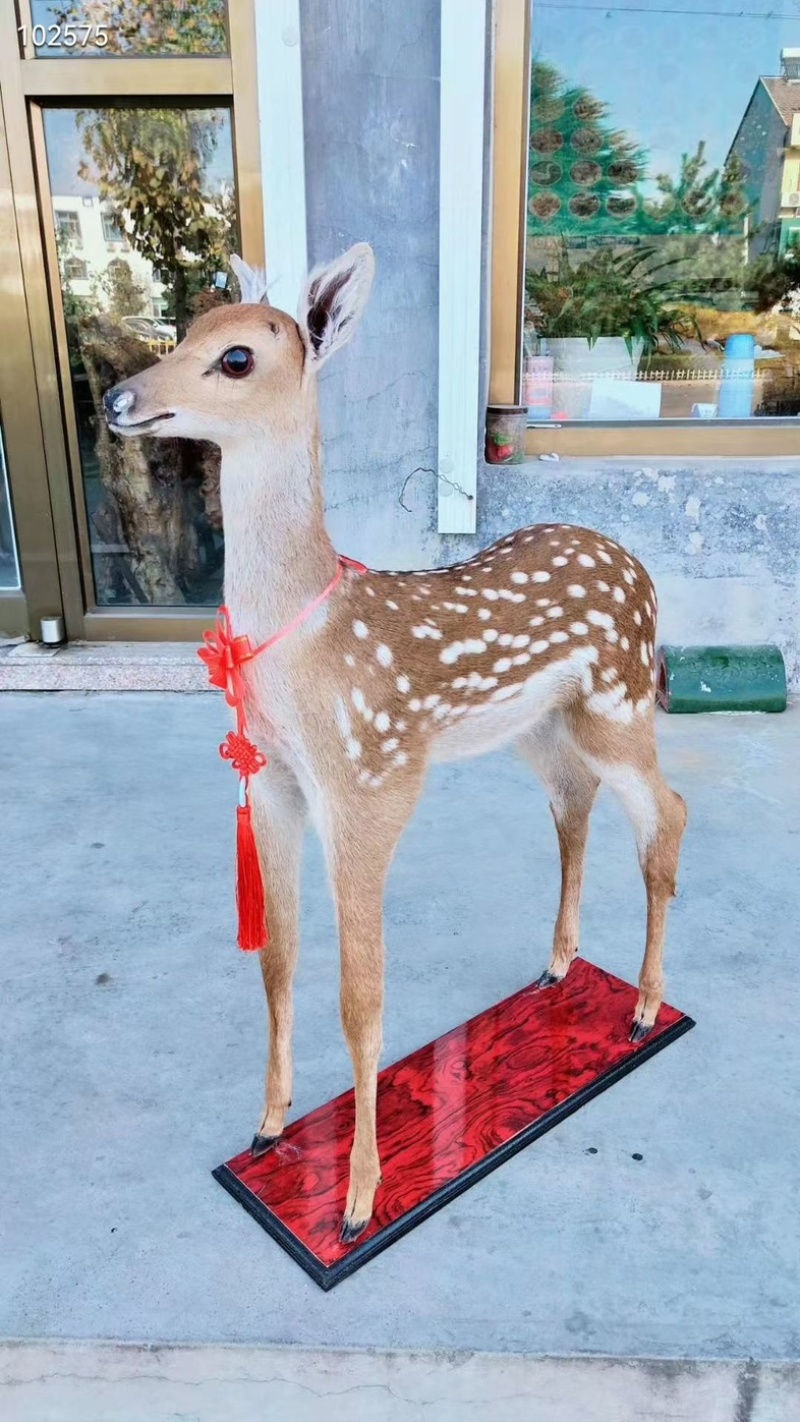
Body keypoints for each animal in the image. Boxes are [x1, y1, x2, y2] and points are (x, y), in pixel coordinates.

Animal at [103, 243, 687, 1243]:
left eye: (236, 358)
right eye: (183, 328)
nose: (117, 398)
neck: (304, 650)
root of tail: (640, 571)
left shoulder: (371, 779)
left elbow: (361, 999)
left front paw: (357, 1201)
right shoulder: (274, 783)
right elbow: (278, 960)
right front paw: (268, 1128)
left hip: (618, 701)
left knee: (668, 813)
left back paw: (646, 1007)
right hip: (542, 727)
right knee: (575, 810)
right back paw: (558, 967)